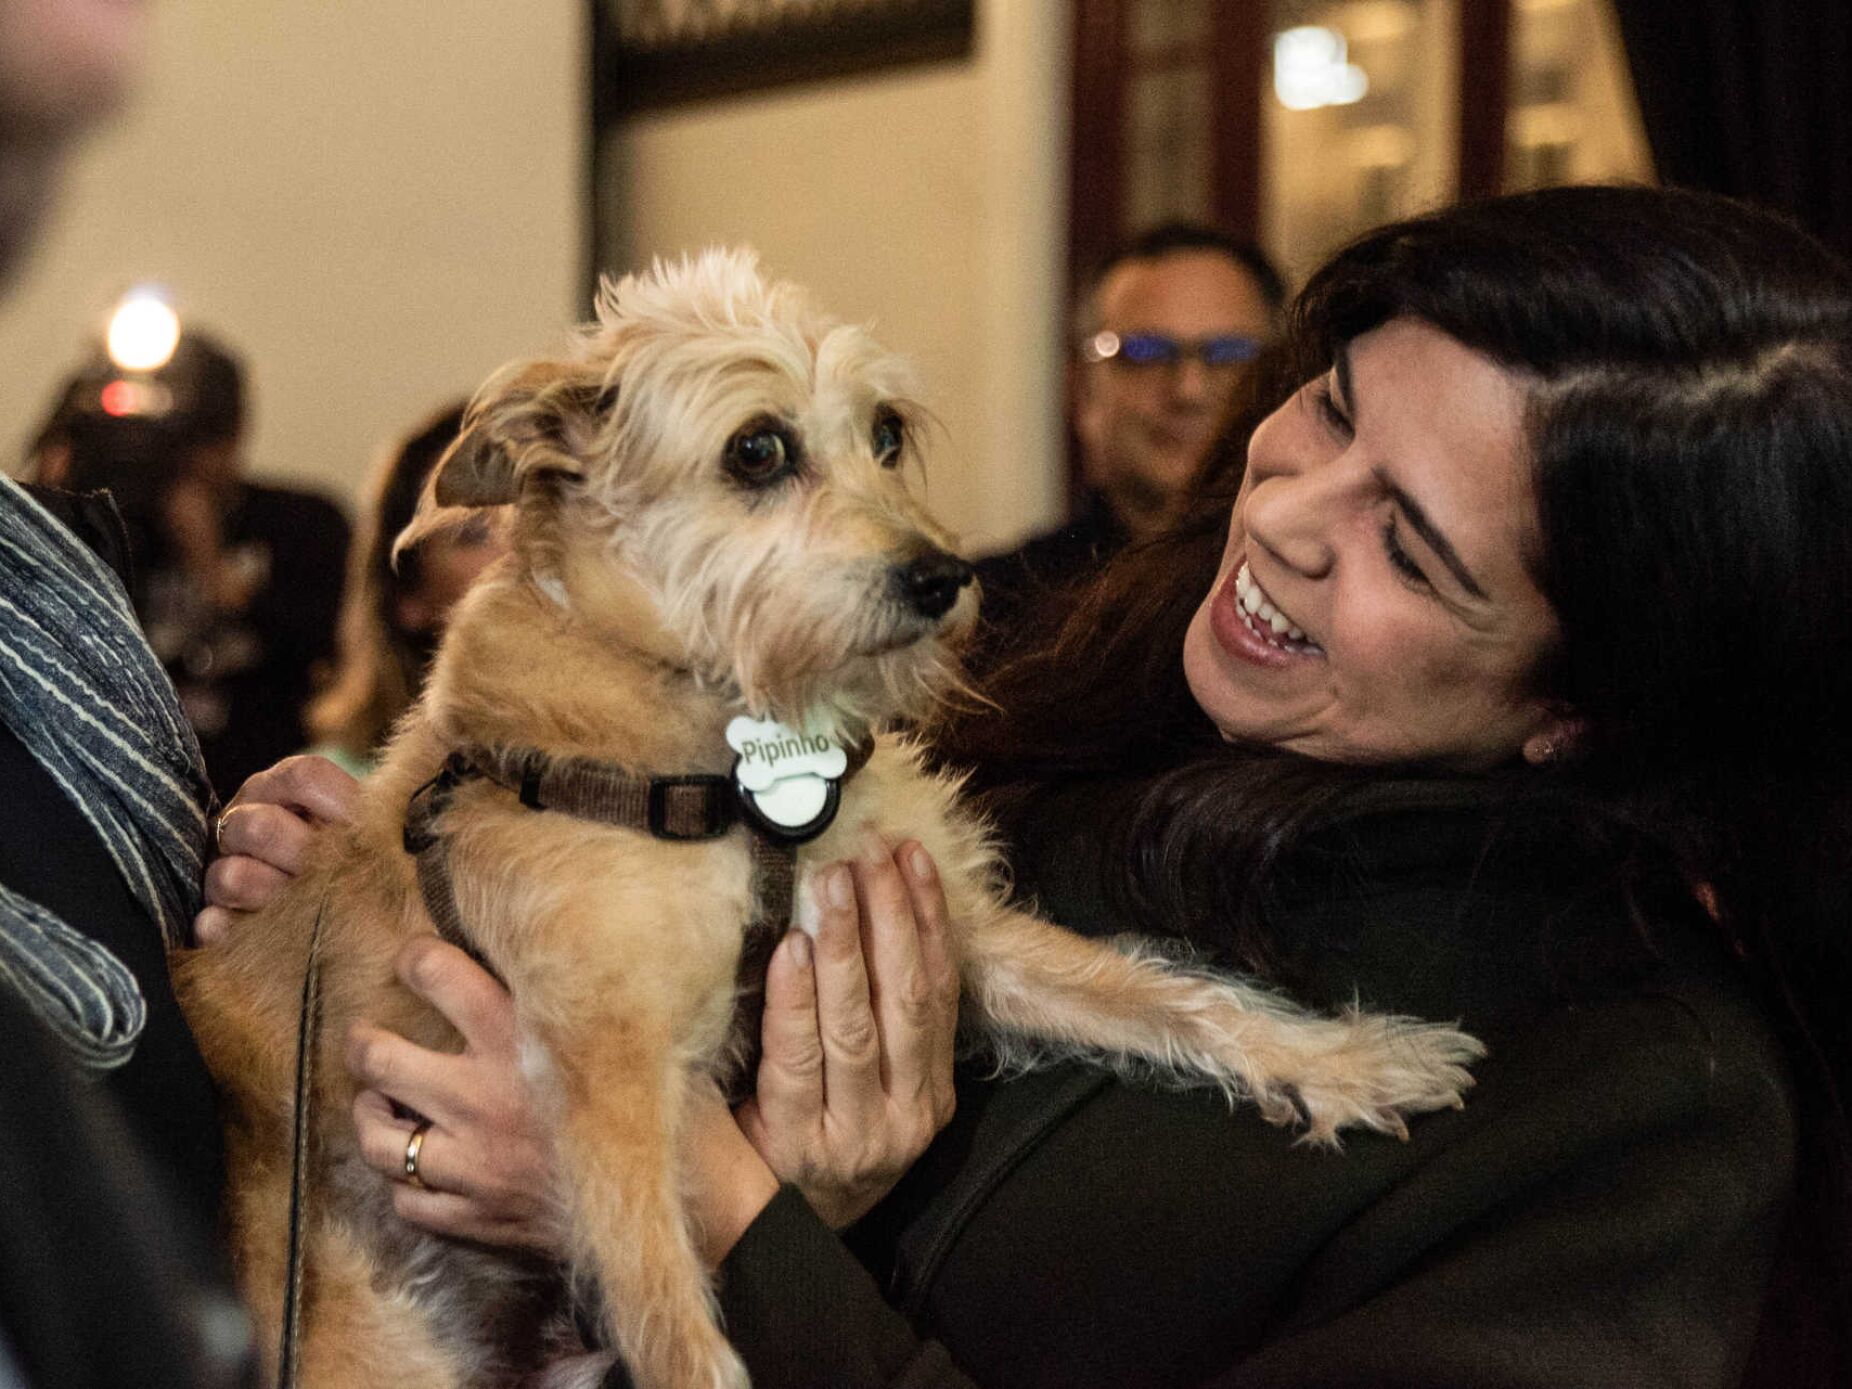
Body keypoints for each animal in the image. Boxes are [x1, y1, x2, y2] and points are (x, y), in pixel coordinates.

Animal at [170, 253, 1474, 1389]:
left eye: (886, 433)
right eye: (758, 448)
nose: (945, 578)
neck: (731, 753)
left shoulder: (962, 934)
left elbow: (1158, 992)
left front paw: (1346, 1059)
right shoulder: (602, 1062)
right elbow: (664, 1300)